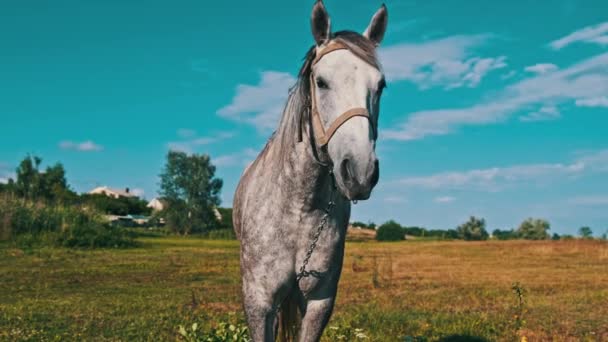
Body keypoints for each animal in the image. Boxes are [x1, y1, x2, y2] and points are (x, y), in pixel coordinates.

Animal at [233, 1, 390, 340]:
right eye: (321, 82)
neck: (298, 207)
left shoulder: (320, 301)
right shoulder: (259, 304)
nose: (360, 172)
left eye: (380, 86)